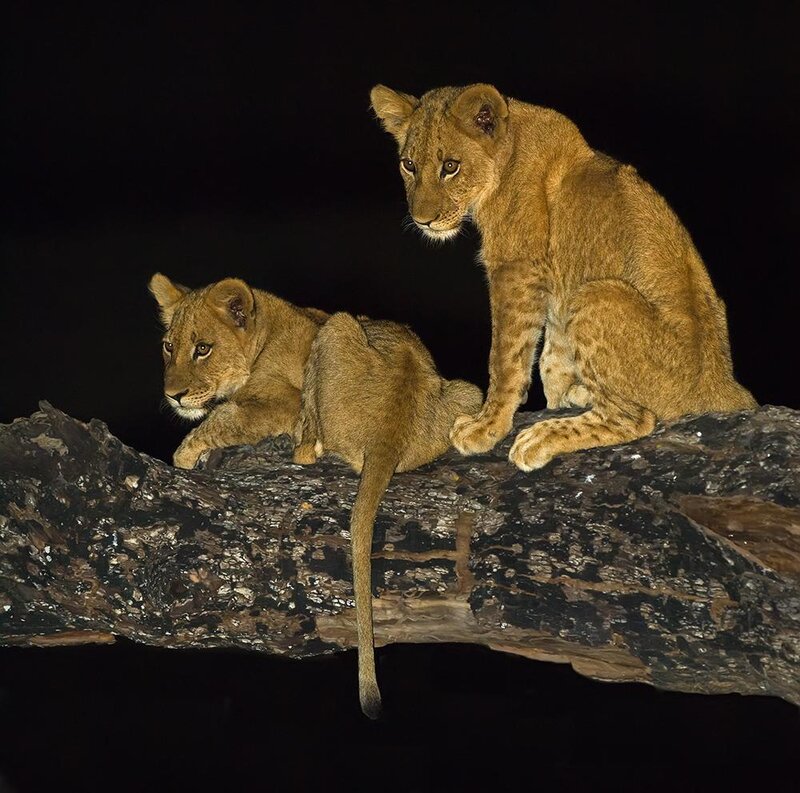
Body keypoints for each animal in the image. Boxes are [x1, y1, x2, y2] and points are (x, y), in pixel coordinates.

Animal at [149, 273, 327, 468]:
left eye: (202, 348)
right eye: (169, 347)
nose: (173, 395)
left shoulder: (290, 404)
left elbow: (223, 419)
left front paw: (183, 456)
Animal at [370, 83, 756, 471]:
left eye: (450, 166)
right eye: (408, 165)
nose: (422, 221)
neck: (508, 153)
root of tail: (723, 386)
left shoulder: (517, 269)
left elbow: (506, 359)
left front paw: (487, 427)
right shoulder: (555, 285)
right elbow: (551, 359)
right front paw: (554, 398)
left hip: (596, 295)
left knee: (635, 418)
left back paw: (543, 437)